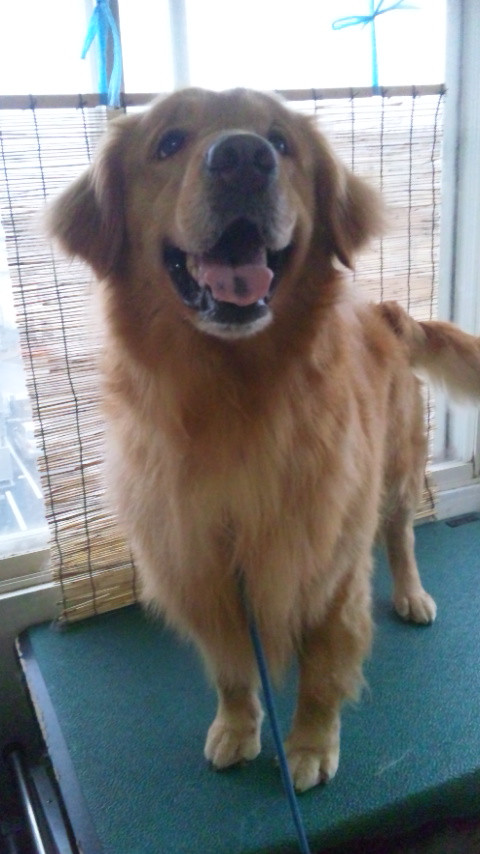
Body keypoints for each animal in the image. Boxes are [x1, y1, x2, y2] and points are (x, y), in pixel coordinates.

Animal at [47, 87, 480, 792]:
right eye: (168, 142)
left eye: (281, 142)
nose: (244, 159)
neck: (234, 400)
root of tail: (385, 311)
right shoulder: (206, 563)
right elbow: (230, 667)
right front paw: (237, 726)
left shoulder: (328, 565)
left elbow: (323, 671)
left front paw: (307, 745)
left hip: (395, 471)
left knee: (401, 536)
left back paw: (412, 593)